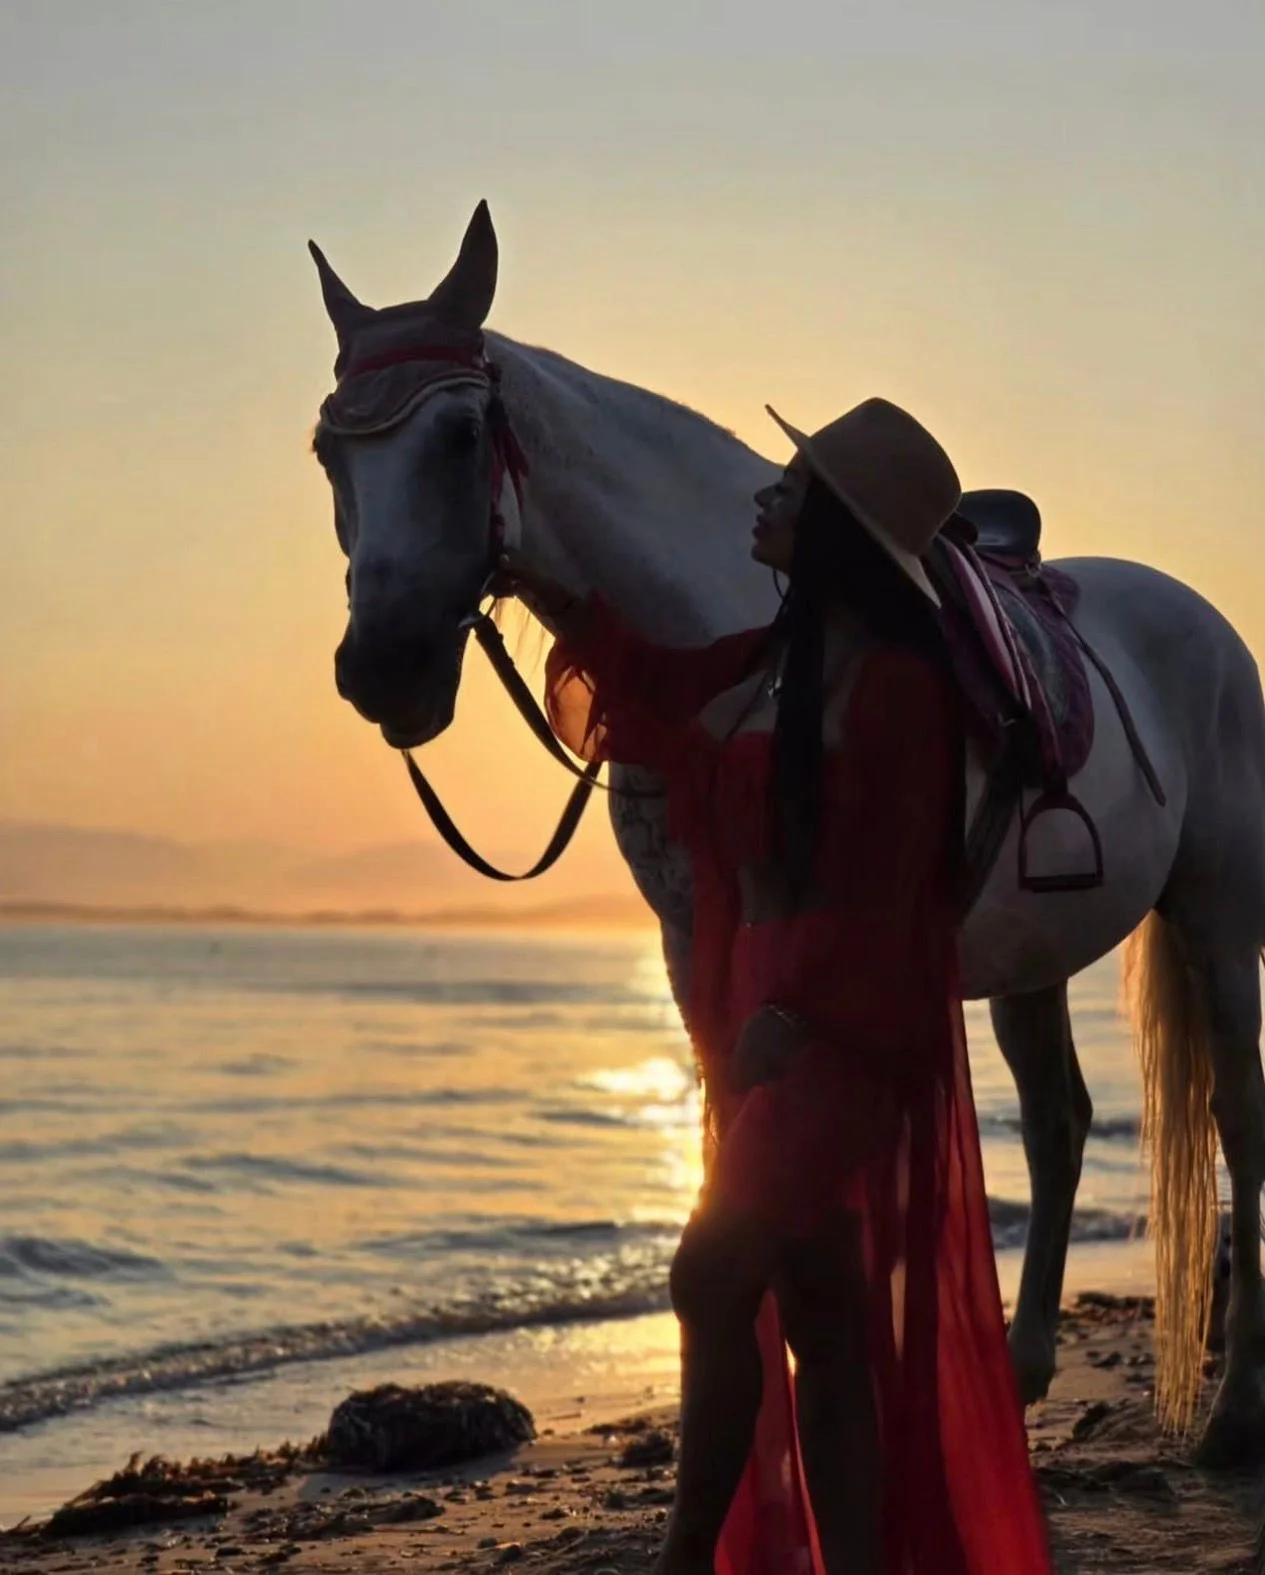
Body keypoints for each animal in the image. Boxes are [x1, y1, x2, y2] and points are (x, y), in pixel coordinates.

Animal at [306, 200, 1265, 1465]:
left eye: (463, 435)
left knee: (1234, 1111)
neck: (738, 648)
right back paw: (1015, 1380)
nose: (384, 668)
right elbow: (733, 1146)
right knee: (1058, 1125)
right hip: (1032, 955)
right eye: (329, 452)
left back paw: (1230, 1410)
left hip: (1216, 914)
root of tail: (1199, 619)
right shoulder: (697, 949)